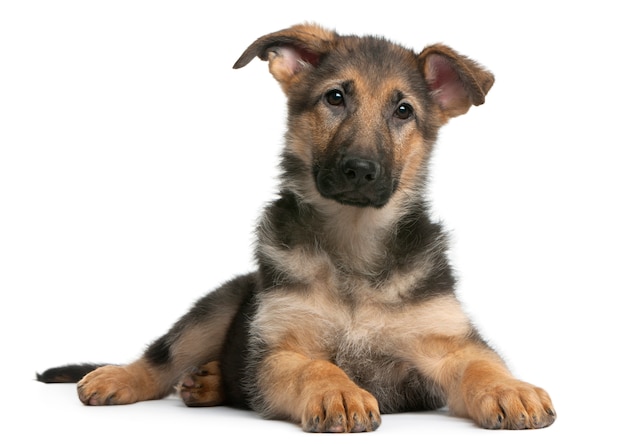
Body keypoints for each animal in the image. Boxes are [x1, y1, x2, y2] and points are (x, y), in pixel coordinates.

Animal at [37, 22, 556, 432]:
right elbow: (316, 368)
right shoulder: (281, 348)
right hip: (218, 306)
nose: (360, 170)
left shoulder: (448, 343)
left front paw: (510, 388)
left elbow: (481, 366)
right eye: (335, 97)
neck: (353, 244)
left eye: (404, 110)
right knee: (162, 357)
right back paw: (121, 376)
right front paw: (339, 392)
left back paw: (209, 382)